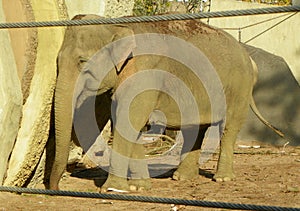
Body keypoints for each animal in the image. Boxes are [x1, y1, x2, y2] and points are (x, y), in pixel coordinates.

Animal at [49, 14, 284, 191]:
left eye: (83, 62)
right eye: (57, 62)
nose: (56, 188)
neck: (118, 24)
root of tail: (249, 58)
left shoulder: (146, 72)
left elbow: (129, 121)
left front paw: (112, 188)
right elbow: (129, 123)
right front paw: (139, 187)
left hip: (239, 87)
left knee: (230, 126)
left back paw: (222, 178)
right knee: (194, 128)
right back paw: (181, 177)